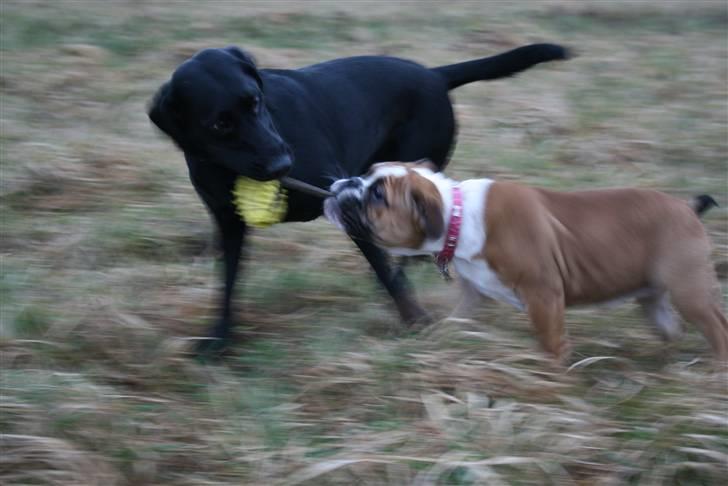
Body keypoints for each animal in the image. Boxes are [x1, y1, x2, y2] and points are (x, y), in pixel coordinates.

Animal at [148, 43, 568, 352]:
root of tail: (434, 75)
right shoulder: (228, 223)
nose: (284, 164)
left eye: (255, 101)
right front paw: (218, 338)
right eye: (220, 124)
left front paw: (417, 321)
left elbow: (388, 276)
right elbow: (228, 283)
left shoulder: (356, 205)